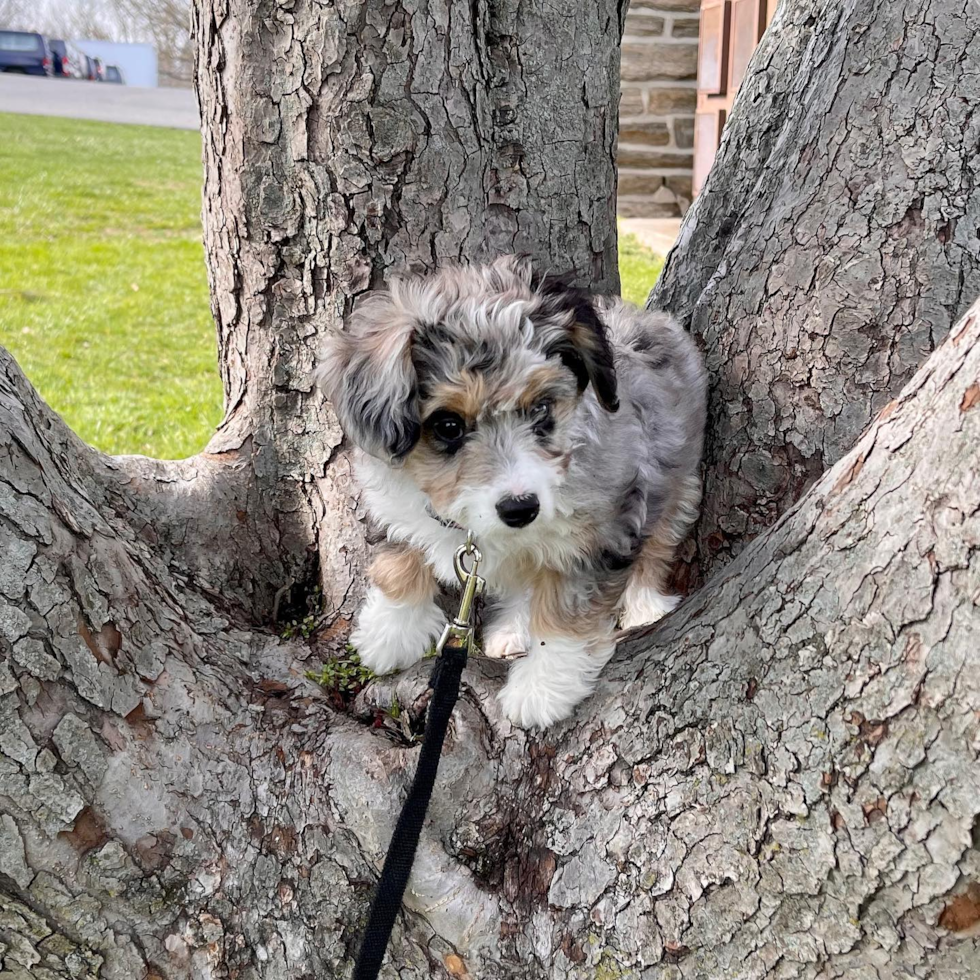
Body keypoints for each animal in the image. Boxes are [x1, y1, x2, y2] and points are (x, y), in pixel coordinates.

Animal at [318, 253, 708, 728]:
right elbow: (399, 557)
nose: (521, 509)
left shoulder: (603, 530)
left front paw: (541, 689)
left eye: (541, 408)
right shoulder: (395, 500)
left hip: (677, 483)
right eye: (448, 425)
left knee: (657, 543)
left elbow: (564, 615)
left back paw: (644, 606)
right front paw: (390, 633)